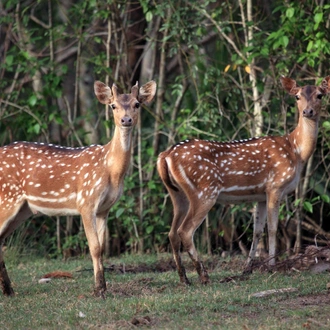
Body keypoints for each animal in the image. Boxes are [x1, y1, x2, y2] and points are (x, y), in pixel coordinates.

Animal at [0, 79, 157, 296]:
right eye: (113, 105)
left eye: (137, 104)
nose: (126, 120)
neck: (111, 170)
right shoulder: (86, 201)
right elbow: (94, 247)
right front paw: (98, 290)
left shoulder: (104, 208)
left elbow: (102, 247)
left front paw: (103, 287)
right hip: (7, 197)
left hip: (23, 210)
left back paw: (8, 290)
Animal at [157, 75, 330, 284]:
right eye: (297, 96)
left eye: (320, 95)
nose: (308, 111)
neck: (296, 150)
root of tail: (165, 155)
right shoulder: (275, 186)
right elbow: (273, 229)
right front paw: (272, 266)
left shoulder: (260, 195)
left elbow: (257, 231)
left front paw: (247, 269)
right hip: (204, 191)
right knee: (185, 231)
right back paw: (203, 276)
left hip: (177, 194)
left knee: (172, 232)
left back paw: (184, 279)